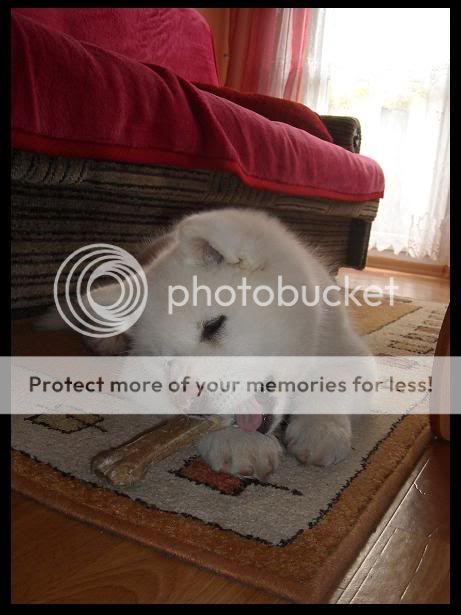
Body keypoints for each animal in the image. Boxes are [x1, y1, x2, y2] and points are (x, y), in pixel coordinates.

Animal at [40, 208, 372, 480]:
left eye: (213, 326)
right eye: (164, 361)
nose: (191, 403)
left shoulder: (348, 348)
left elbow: (334, 380)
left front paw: (322, 430)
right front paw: (240, 443)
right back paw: (104, 338)